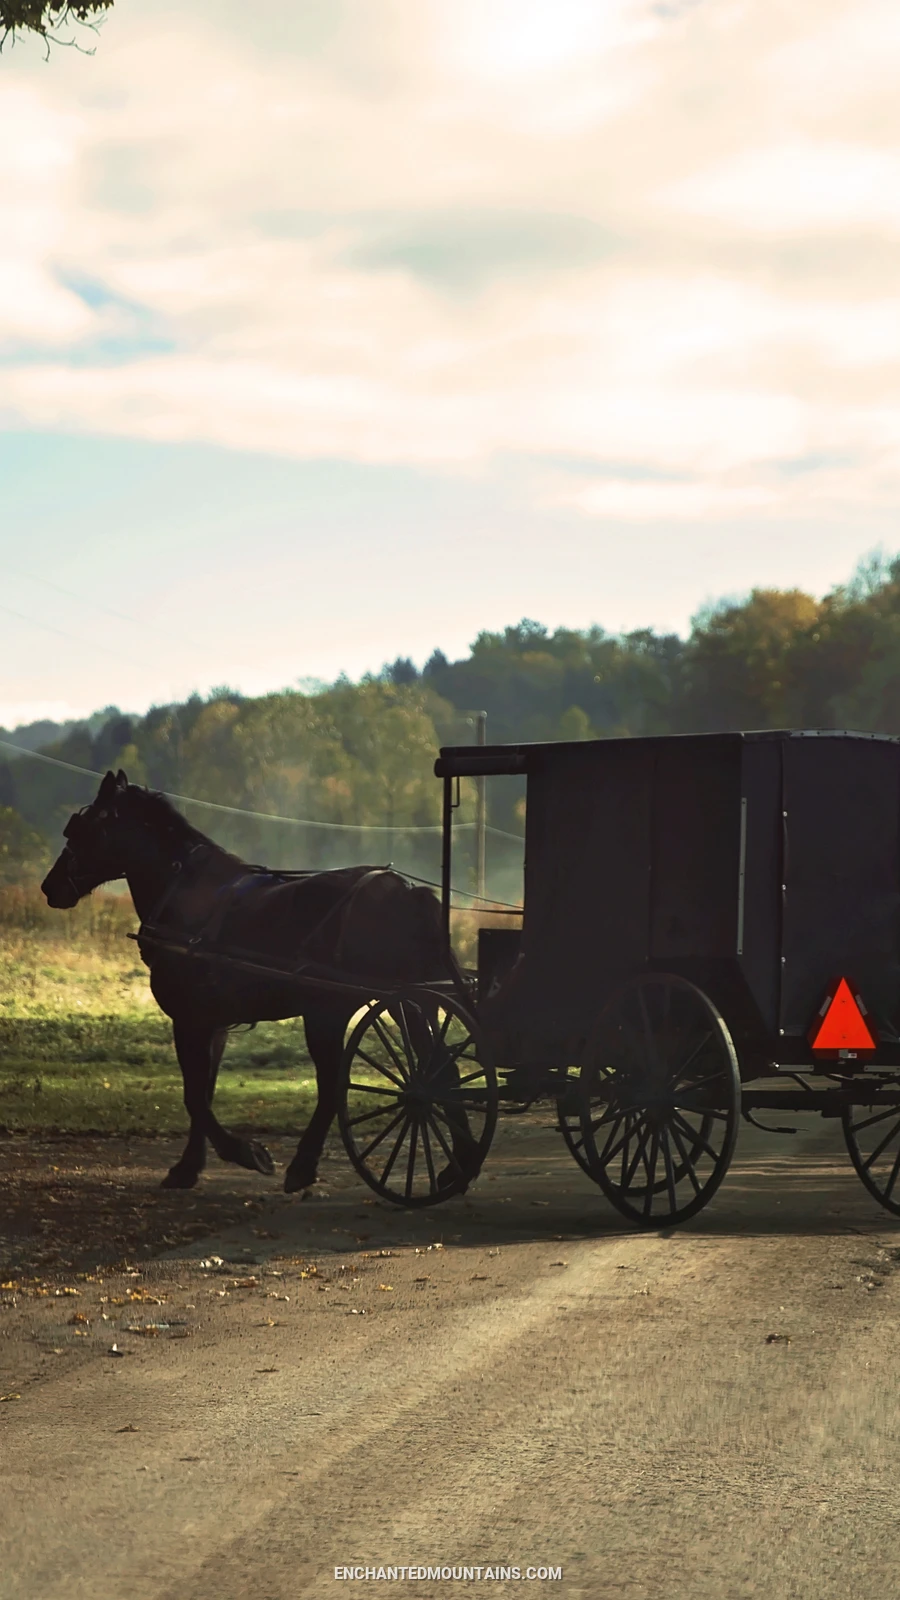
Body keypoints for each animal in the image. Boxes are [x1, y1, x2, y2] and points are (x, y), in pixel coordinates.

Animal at [41, 770, 452, 1193]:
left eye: (83, 828)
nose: (50, 887)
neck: (184, 893)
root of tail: (405, 892)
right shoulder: (213, 1024)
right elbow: (204, 1092)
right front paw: (189, 1166)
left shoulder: (188, 1020)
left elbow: (194, 1097)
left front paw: (245, 1153)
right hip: (411, 1003)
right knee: (440, 1071)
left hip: (328, 1014)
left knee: (332, 1086)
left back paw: (302, 1167)